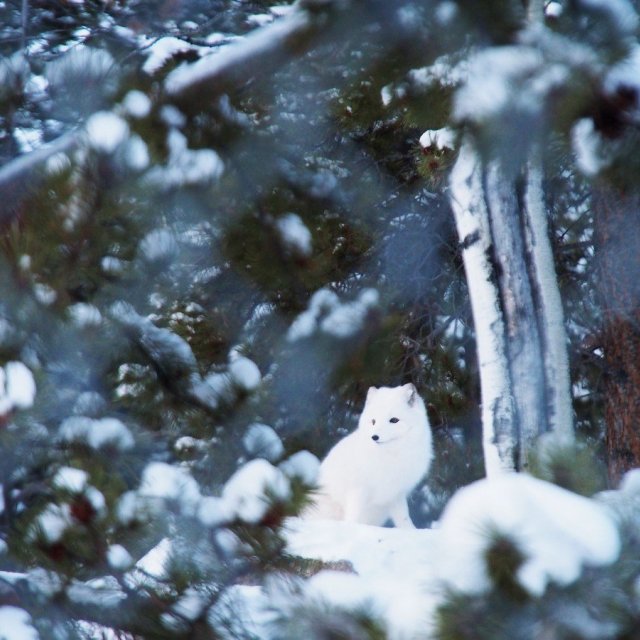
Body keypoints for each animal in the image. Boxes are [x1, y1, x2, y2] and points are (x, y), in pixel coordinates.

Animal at [306, 382, 436, 528]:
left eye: (394, 420)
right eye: (373, 421)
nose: (374, 437)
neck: (391, 456)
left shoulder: (395, 494)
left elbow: (404, 518)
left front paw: (411, 531)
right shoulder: (358, 490)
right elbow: (353, 516)